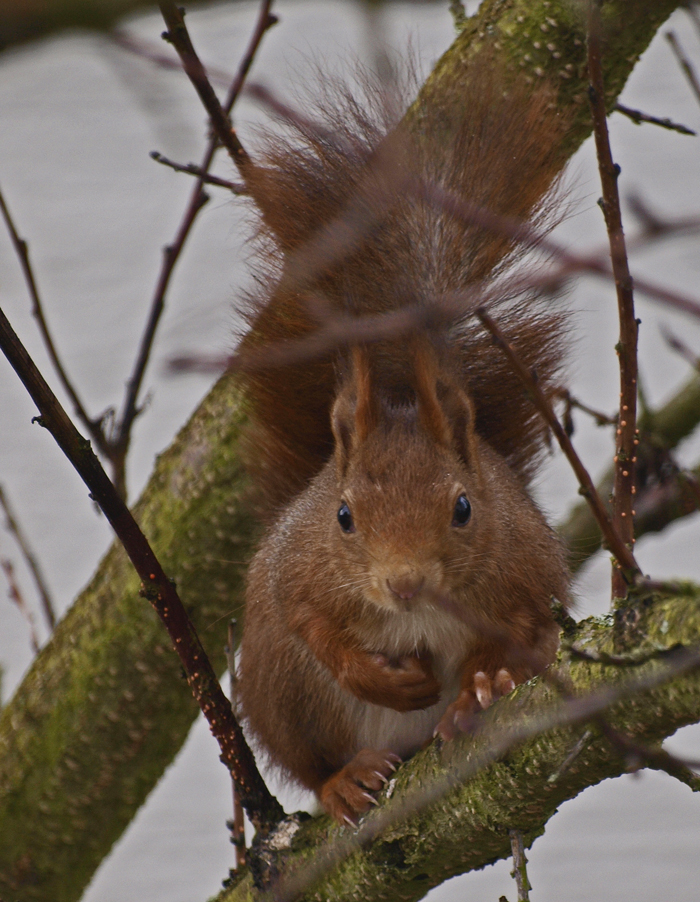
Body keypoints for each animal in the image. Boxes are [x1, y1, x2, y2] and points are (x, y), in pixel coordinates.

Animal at [238, 63, 572, 828]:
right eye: (343, 517)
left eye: (464, 508)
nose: (404, 583)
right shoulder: (299, 572)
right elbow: (311, 623)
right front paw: (375, 675)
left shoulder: (526, 572)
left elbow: (521, 630)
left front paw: (484, 682)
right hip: (280, 693)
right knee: (309, 760)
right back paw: (344, 780)